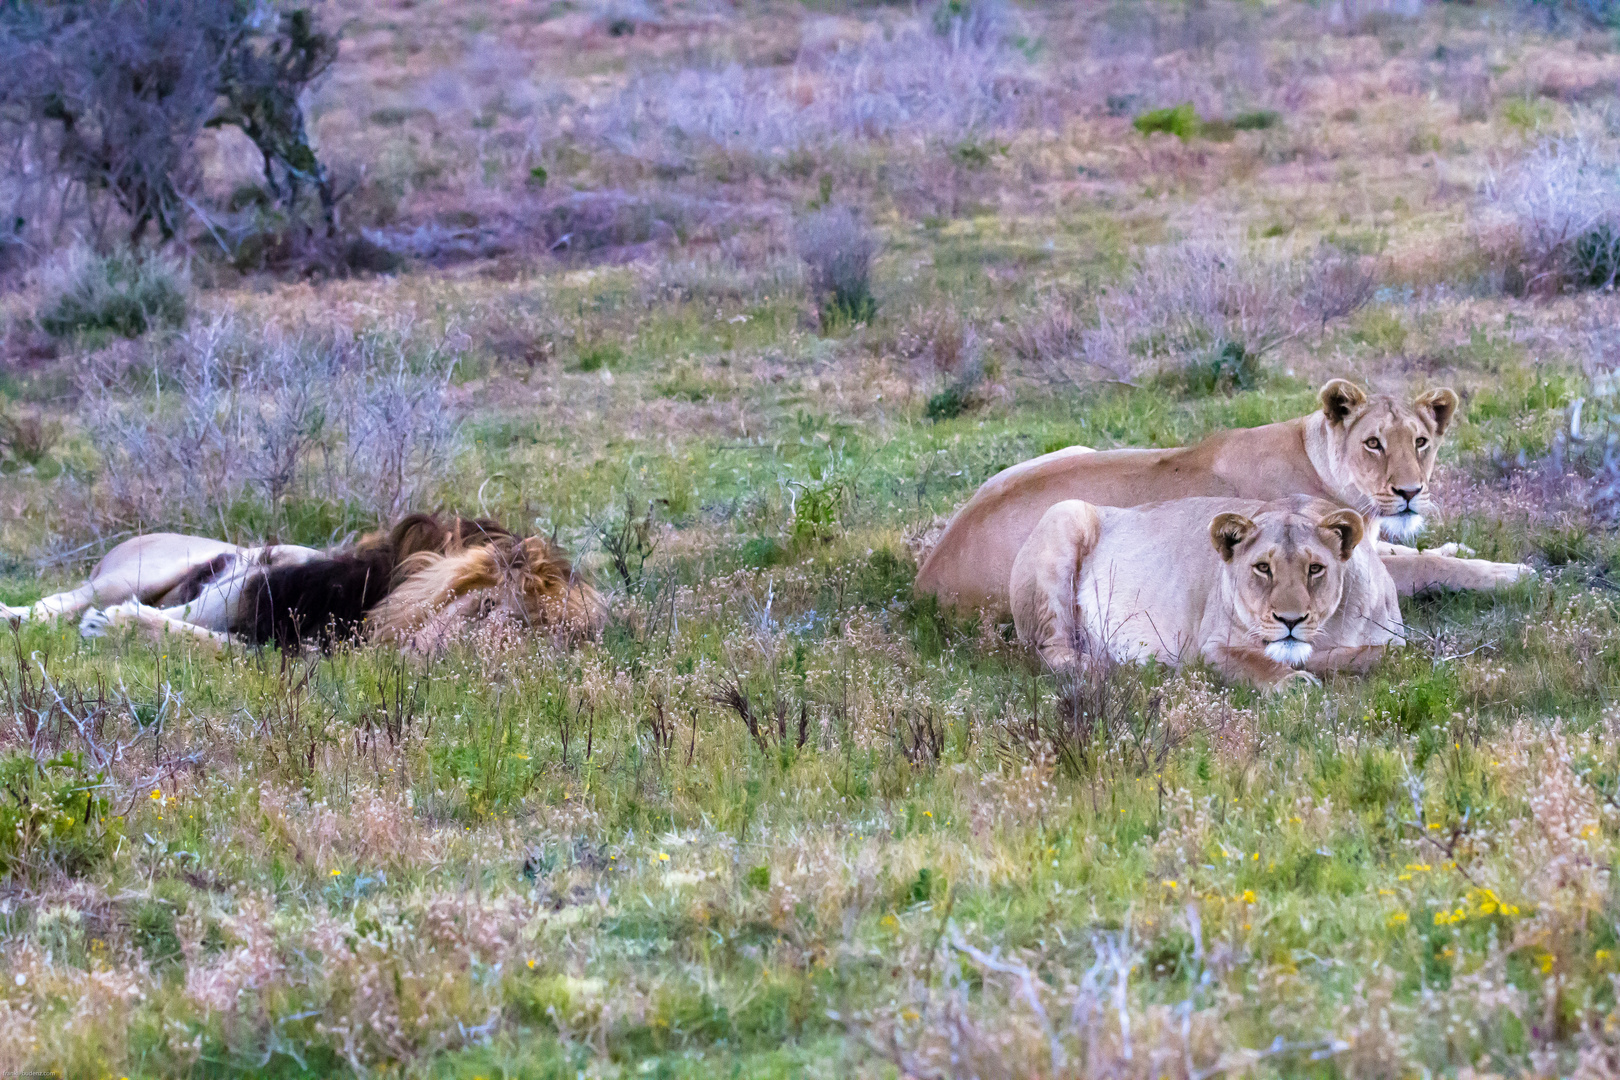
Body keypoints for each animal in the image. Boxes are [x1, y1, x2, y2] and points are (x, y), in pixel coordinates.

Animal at [920, 380, 1522, 615]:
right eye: (1373, 443)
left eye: (1420, 442)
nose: (1409, 492)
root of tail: (925, 578)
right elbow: (1428, 569)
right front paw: (1513, 574)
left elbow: (1419, 552)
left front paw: (1461, 549)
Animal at [1010, 495, 1406, 689]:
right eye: (1263, 567)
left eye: (1315, 569)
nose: (1290, 620)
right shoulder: (1213, 646)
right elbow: (1258, 663)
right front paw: (1295, 681)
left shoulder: (1397, 642)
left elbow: (1376, 656)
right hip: (1065, 515)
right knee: (1047, 650)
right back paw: (1104, 667)